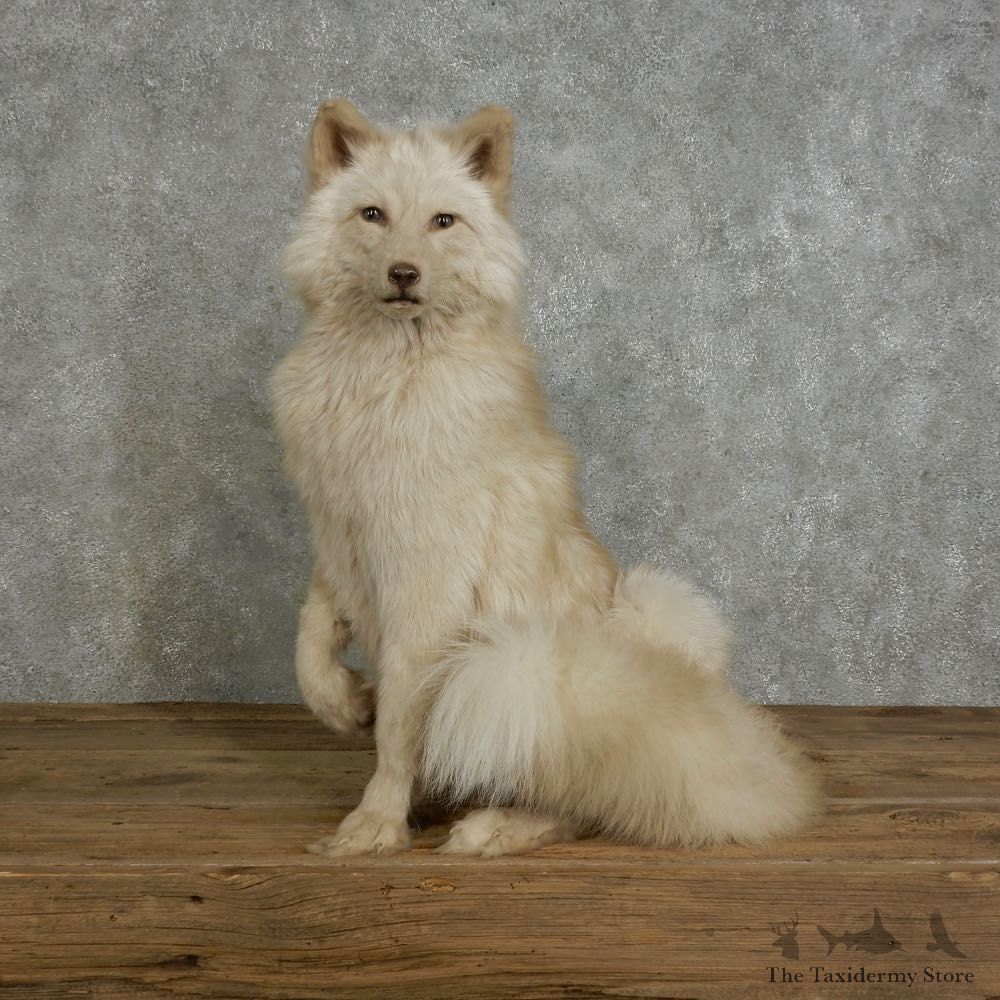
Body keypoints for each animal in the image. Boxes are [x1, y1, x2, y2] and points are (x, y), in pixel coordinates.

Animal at [269, 99, 820, 857]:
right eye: (372, 215)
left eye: (443, 221)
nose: (404, 273)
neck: (383, 374)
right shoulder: (336, 533)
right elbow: (310, 645)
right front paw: (347, 704)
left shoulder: (423, 581)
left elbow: (400, 722)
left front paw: (376, 822)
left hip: (540, 664)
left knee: (584, 805)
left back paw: (494, 826)